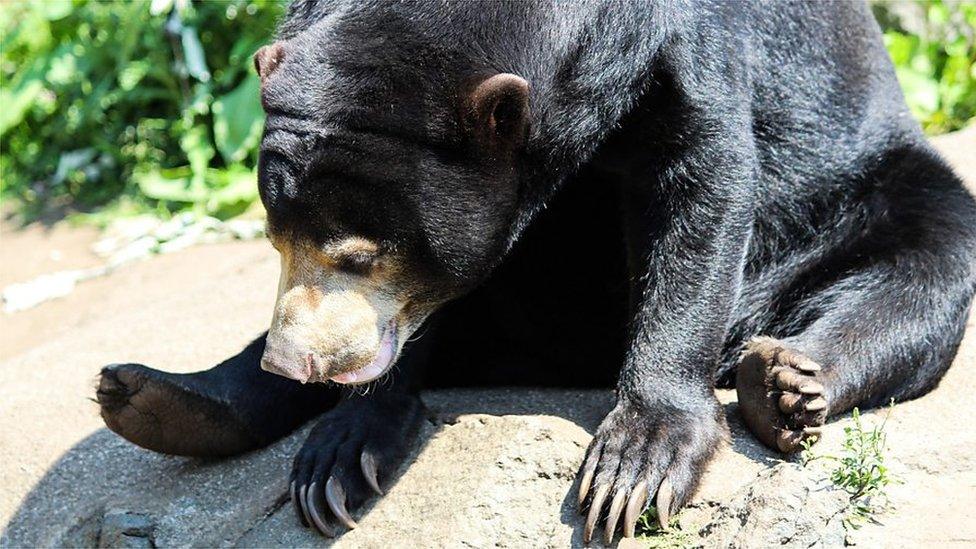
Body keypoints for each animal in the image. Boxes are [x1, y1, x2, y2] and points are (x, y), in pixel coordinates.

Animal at [95, 0, 976, 540]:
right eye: (275, 239)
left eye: (361, 254)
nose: (297, 360)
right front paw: (343, 447)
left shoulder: (682, 49)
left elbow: (703, 178)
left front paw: (634, 468)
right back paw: (158, 398)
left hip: (871, 184)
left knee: (927, 263)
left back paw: (785, 382)